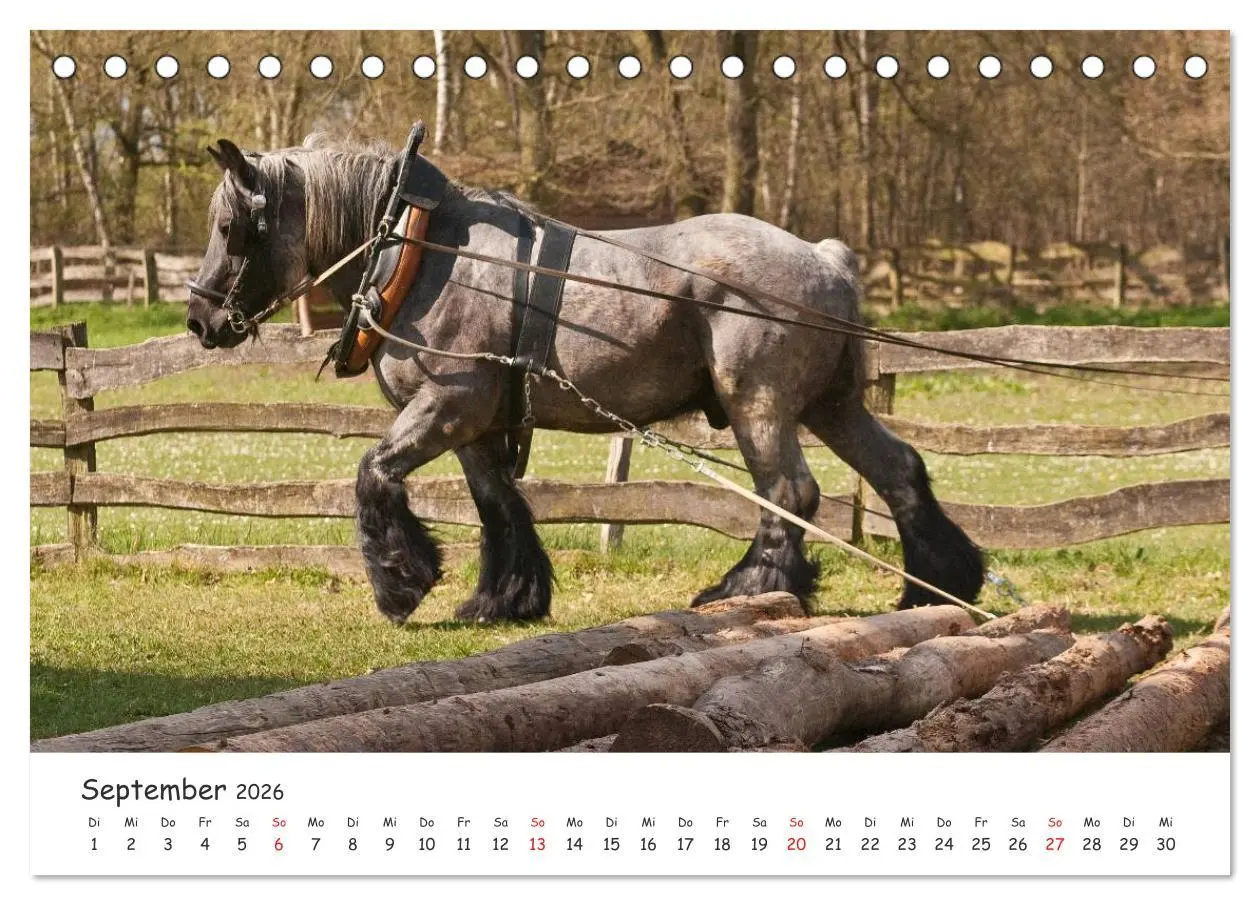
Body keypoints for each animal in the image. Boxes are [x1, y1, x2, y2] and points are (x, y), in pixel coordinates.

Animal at [185, 135, 984, 624]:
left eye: (230, 229)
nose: (198, 317)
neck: (417, 249)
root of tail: (825, 257)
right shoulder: (474, 422)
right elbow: (498, 506)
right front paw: (504, 597)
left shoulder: (449, 402)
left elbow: (373, 473)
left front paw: (400, 583)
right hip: (830, 404)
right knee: (900, 470)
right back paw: (938, 584)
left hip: (758, 403)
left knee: (788, 492)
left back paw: (747, 589)